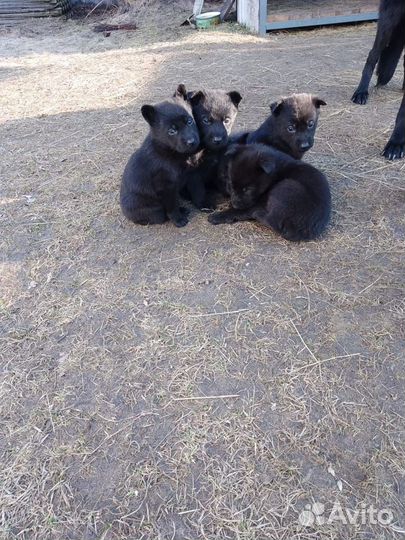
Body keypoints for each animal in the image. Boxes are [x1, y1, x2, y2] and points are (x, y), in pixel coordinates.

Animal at [119, 85, 200, 228]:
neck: (169, 152)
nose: (191, 142)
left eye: (189, 121)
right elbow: (172, 206)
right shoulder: (166, 188)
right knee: (161, 215)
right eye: (172, 131)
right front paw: (178, 220)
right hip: (153, 210)